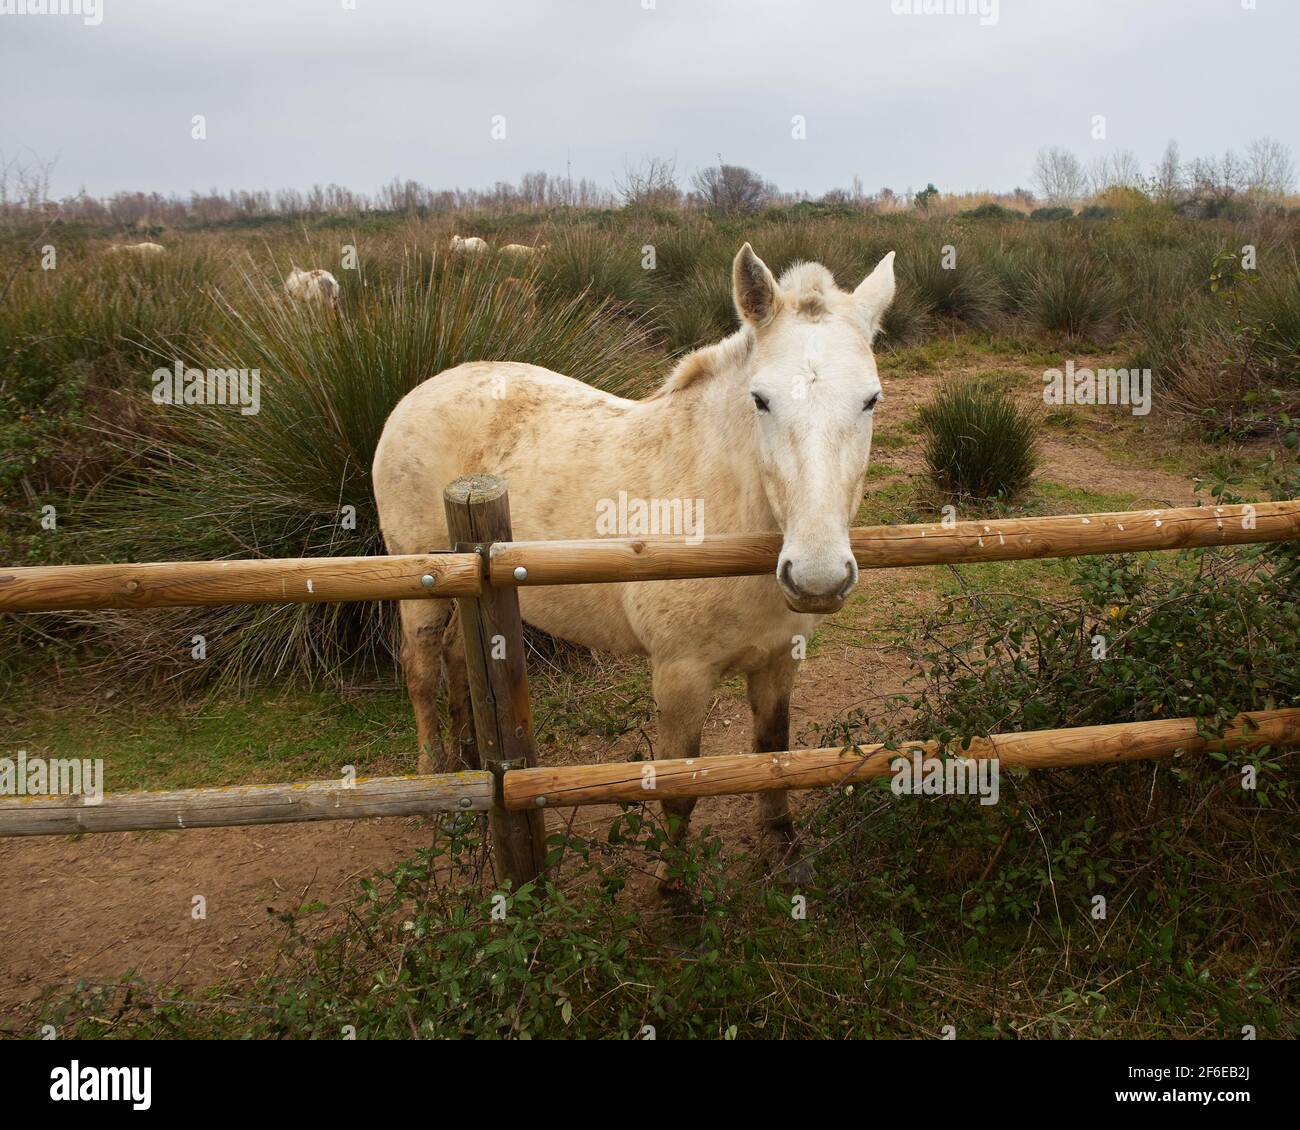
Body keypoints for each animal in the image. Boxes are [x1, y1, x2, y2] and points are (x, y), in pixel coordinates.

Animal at [374, 241, 894, 884]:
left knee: (455, 656)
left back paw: (473, 758)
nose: (817, 576)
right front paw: (675, 888)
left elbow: (773, 753)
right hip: (419, 580)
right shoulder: (679, 676)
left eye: (870, 399)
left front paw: (782, 849)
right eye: (761, 400)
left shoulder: (779, 660)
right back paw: (439, 785)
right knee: (421, 669)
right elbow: (677, 788)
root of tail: (423, 390)